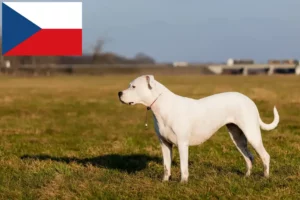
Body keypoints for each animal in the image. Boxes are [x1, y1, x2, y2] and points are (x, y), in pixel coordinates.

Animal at [118, 75, 278, 183]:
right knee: (249, 157)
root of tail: (249, 100)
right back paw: (247, 176)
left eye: (133, 87)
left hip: (252, 134)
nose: (119, 93)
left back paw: (265, 177)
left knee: (265, 156)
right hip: (237, 138)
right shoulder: (165, 144)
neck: (162, 106)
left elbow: (183, 166)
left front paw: (183, 183)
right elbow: (166, 165)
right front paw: (164, 181)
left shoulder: (182, 144)